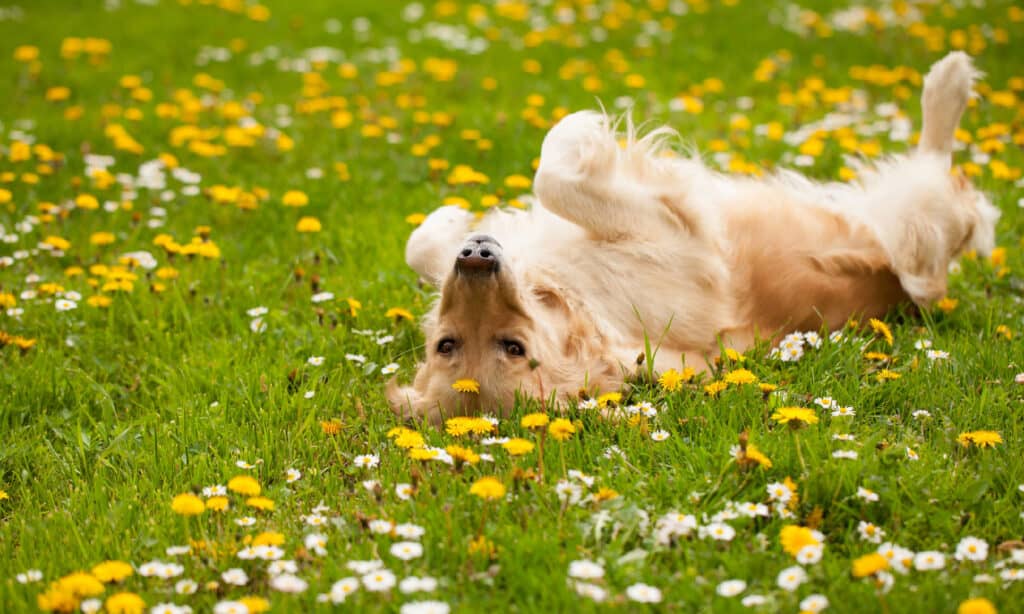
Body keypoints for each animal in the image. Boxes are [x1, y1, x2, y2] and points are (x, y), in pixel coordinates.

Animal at [387, 52, 995, 423]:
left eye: (443, 344)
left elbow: (422, 243)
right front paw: (580, 130)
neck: (574, 299)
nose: (477, 256)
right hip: (917, 227)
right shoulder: (679, 233)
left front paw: (450, 218)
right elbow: (554, 176)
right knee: (946, 186)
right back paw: (950, 81)